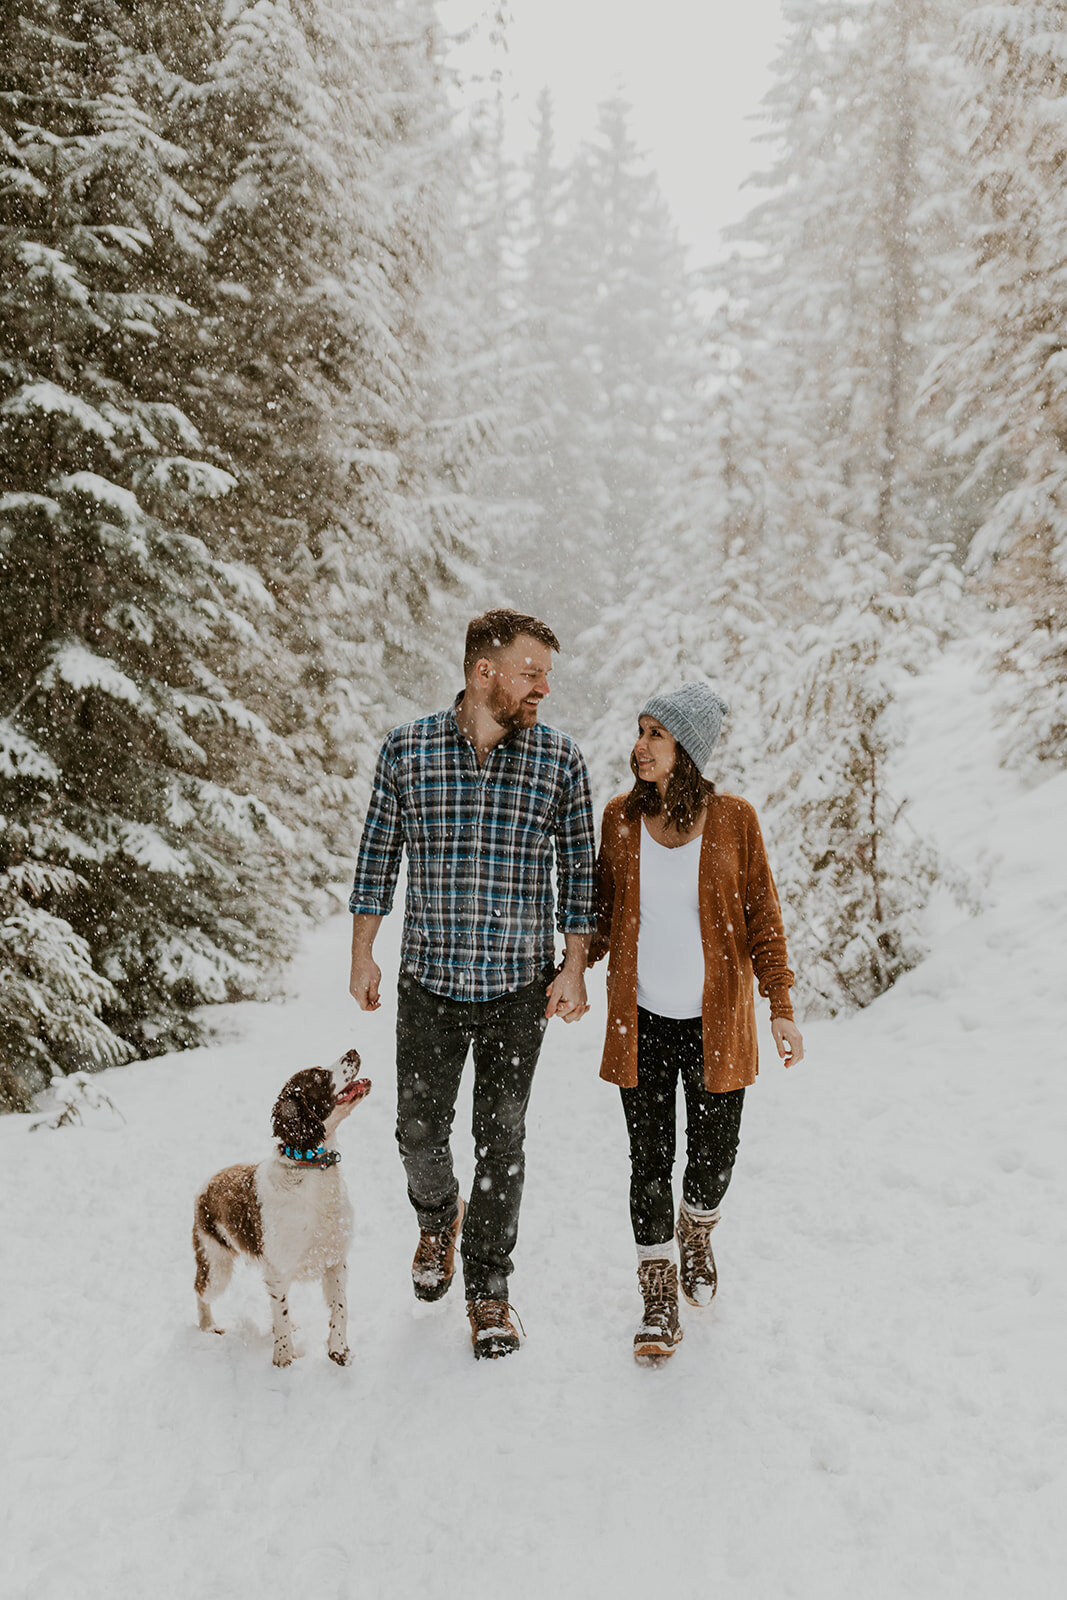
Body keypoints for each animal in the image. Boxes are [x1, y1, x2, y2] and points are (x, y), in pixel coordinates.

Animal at [194, 1049, 374, 1363]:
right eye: (318, 1075)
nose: (353, 1051)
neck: (312, 1171)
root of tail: (209, 1181)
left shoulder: (335, 1260)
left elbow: (340, 1308)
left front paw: (339, 1350)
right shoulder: (278, 1270)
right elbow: (280, 1314)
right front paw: (283, 1359)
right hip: (215, 1264)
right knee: (200, 1292)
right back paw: (209, 1327)